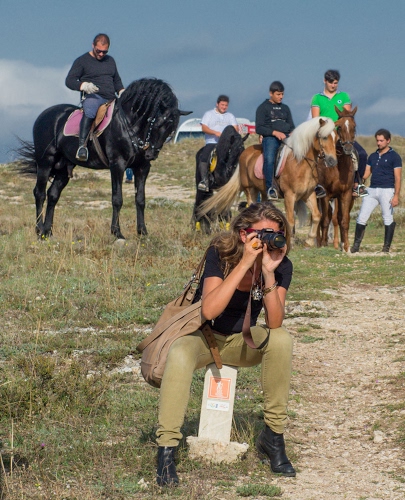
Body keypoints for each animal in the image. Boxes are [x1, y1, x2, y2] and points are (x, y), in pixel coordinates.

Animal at [17, 78, 191, 239]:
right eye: (154, 122)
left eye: (170, 129)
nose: (151, 154)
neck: (130, 124)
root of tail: (44, 116)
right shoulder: (117, 165)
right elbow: (117, 199)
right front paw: (117, 232)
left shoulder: (142, 168)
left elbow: (140, 199)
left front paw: (142, 232)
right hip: (45, 162)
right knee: (40, 193)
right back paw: (39, 229)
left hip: (63, 168)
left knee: (53, 195)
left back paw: (48, 232)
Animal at [198, 117, 338, 246]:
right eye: (324, 137)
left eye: (336, 139)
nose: (332, 161)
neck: (299, 163)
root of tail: (245, 153)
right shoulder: (289, 195)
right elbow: (290, 219)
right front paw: (290, 241)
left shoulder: (309, 194)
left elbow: (316, 216)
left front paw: (309, 241)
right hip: (250, 189)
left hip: (264, 192)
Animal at [317, 107, 358, 252]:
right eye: (339, 127)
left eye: (354, 126)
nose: (348, 148)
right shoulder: (325, 194)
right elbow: (325, 219)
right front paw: (323, 244)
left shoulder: (346, 194)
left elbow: (344, 220)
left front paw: (345, 246)